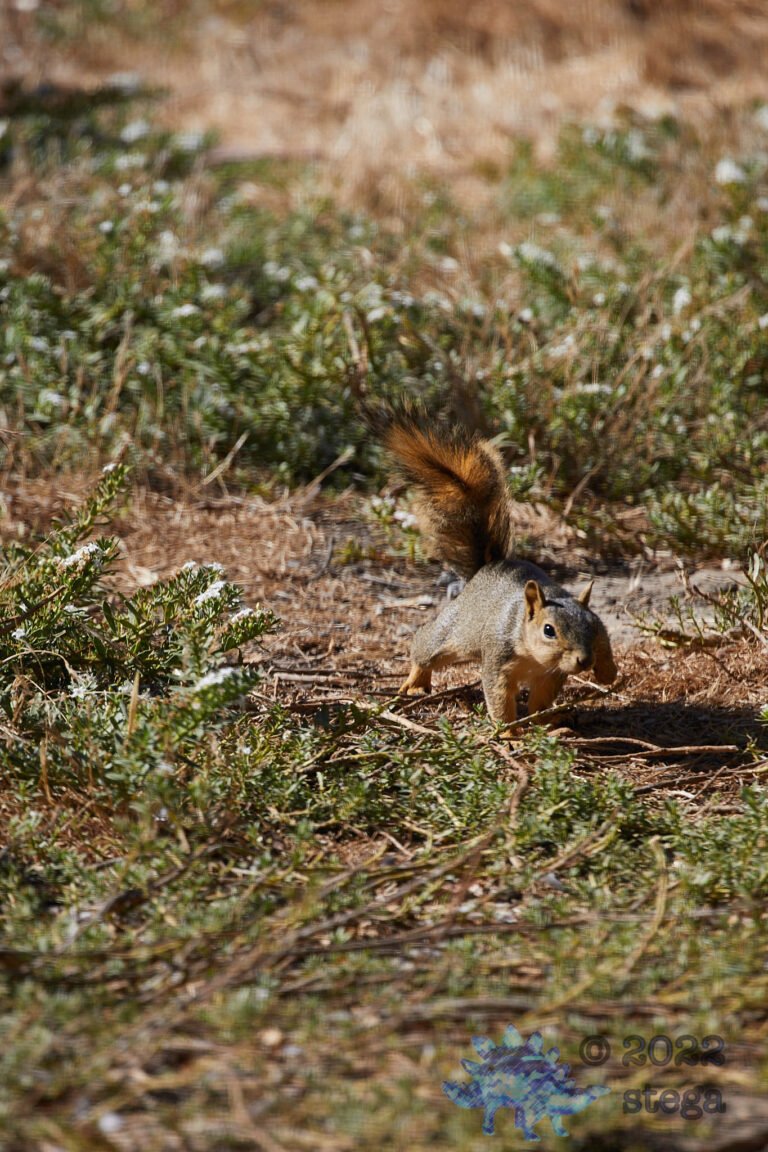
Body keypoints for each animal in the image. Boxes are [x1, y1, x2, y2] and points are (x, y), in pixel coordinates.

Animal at [379, 406, 617, 725]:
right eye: (549, 630)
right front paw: (509, 732)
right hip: (456, 632)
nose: (584, 660)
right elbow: (500, 699)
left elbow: (541, 702)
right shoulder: (498, 661)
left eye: (591, 623)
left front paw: (547, 725)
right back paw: (416, 683)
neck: (532, 653)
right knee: (425, 645)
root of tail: (486, 568)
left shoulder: (553, 673)